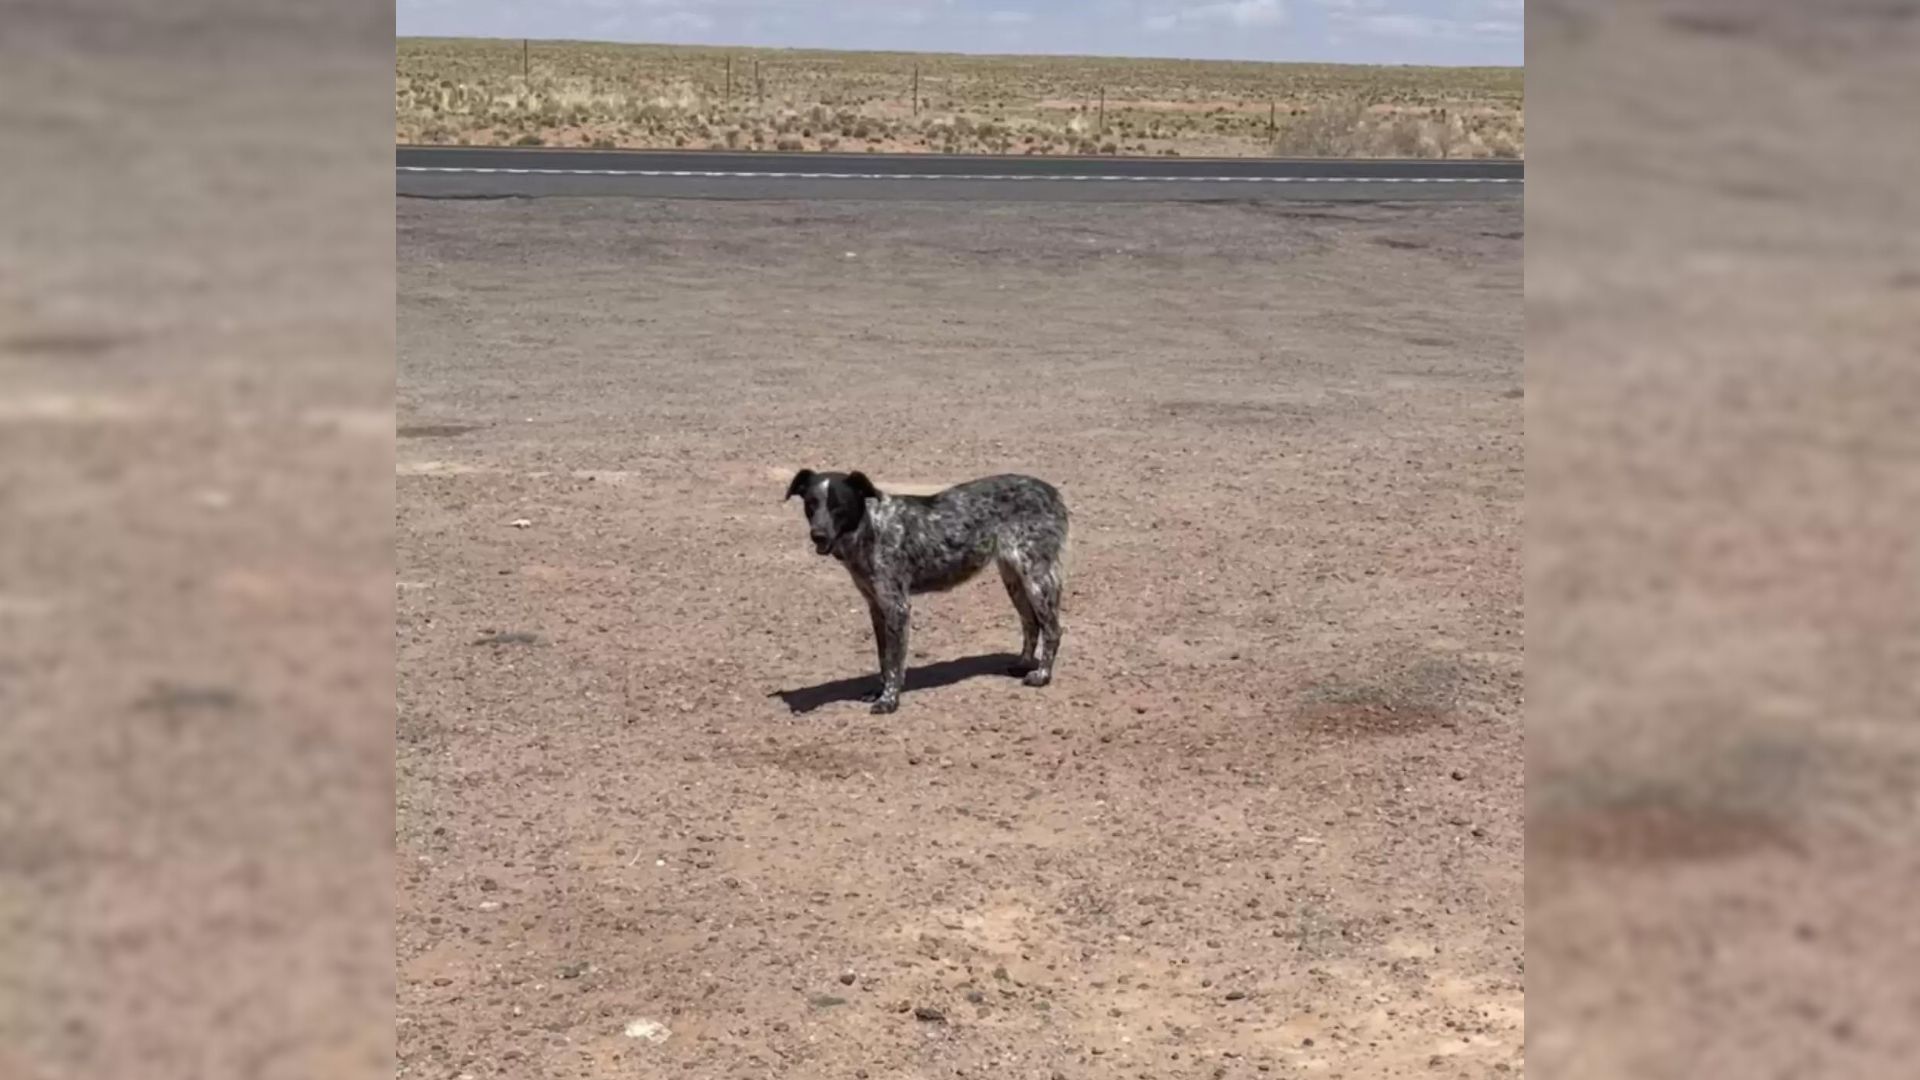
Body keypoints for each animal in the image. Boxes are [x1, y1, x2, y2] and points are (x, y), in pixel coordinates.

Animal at [787, 466, 1075, 711]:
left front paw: (889, 700)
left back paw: (1042, 675)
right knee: (1031, 623)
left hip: (1037, 576)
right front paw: (879, 691)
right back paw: (1023, 664)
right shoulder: (876, 607)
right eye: (811, 504)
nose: (818, 535)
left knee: (1053, 629)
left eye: (839, 505)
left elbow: (894, 662)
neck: (870, 528)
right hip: (1014, 578)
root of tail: (1051, 491)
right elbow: (883, 658)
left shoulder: (897, 606)